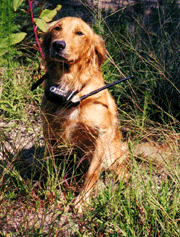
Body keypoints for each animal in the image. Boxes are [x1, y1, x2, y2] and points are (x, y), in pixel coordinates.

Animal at [41, 17, 129, 213]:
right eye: (57, 28)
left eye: (79, 33)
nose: (58, 45)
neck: (70, 87)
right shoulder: (49, 132)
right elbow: (50, 166)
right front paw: (51, 192)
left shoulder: (102, 134)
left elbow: (92, 172)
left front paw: (82, 201)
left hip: (115, 153)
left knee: (121, 170)